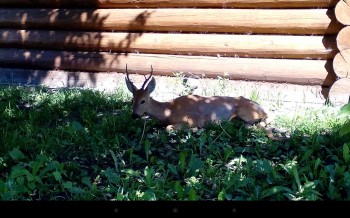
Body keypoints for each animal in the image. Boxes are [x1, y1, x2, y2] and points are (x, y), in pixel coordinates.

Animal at [124, 64, 284, 141]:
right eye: (132, 100)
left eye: (143, 100)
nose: (134, 115)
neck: (169, 110)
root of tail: (260, 107)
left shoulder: (189, 119)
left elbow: (169, 128)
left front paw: (196, 130)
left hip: (248, 112)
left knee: (267, 118)